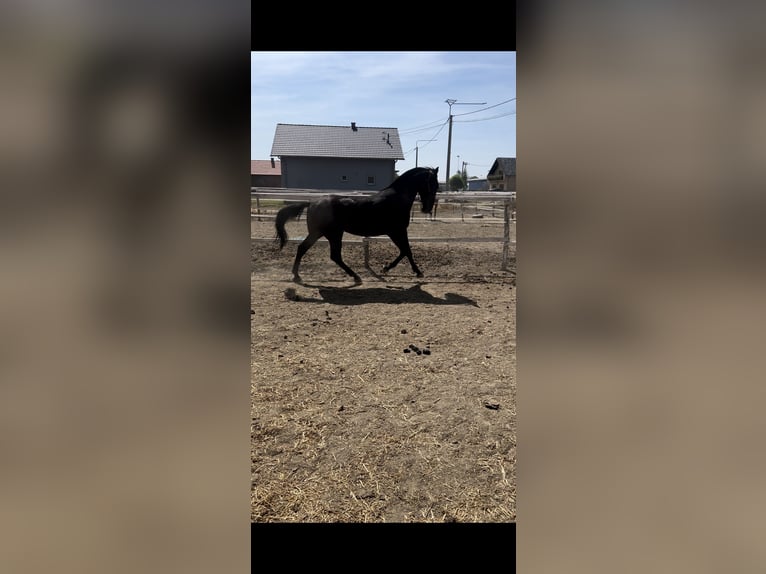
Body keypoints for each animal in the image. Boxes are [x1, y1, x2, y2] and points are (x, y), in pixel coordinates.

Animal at [278, 165, 440, 284]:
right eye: (432, 184)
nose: (427, 208)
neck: (397, 198)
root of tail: (311, 203)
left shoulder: (395, 232)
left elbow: (404, 251)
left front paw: (386, 268)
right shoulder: (397, 231)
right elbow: (406, 250)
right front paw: (416, 272)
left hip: (327, 234)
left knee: (317, 252)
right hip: (329, 234)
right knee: (325, 253)